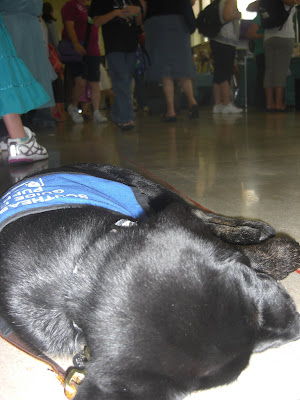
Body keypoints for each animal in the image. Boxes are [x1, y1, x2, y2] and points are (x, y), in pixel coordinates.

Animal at [0, 163, 298, 400]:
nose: (294, 323)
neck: (80, 272)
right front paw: (281, 253)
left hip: (144, 185)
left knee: (203, 214)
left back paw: (254, 228)